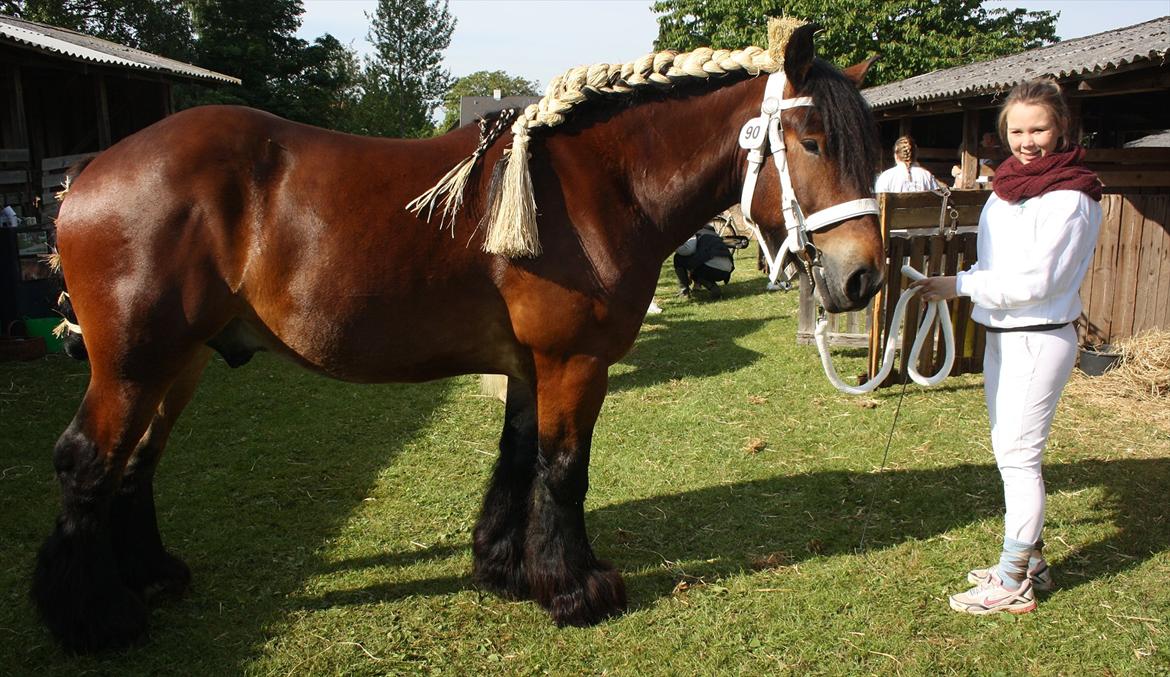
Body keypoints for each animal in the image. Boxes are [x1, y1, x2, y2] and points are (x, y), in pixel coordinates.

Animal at [32, 25, 879, 650]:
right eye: (811, 139)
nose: (863, 275)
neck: (599, 182)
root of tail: (85, 178)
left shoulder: (529, 365)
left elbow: (518, 460)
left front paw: (507, 569)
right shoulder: (573, 362)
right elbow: (563, 470)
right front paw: (578, 588)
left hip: (178, 364)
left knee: (136, 463)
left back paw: (149, 575)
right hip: (133, 364)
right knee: (86, 461)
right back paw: (95, 616)